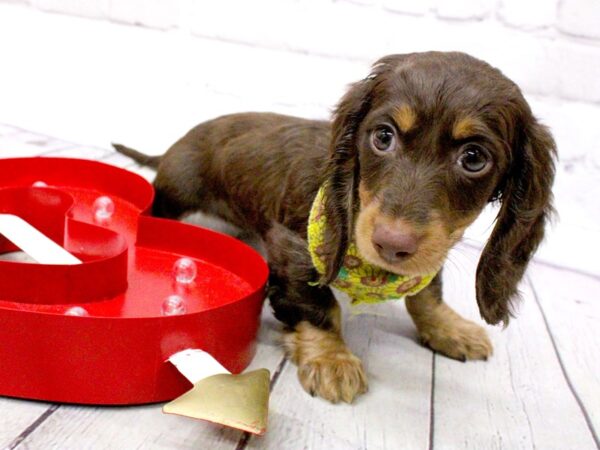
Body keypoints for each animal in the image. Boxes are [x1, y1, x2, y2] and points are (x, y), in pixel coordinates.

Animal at [113, 51, 556, 404]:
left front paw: (449, 328)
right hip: (180, 194)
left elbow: (426, 294)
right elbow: (320, 306)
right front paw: (332, 360)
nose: (392, 244)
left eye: (474, 158)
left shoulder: (434, 250)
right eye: (383, 136)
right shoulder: (292, 246)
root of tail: (172, 149)